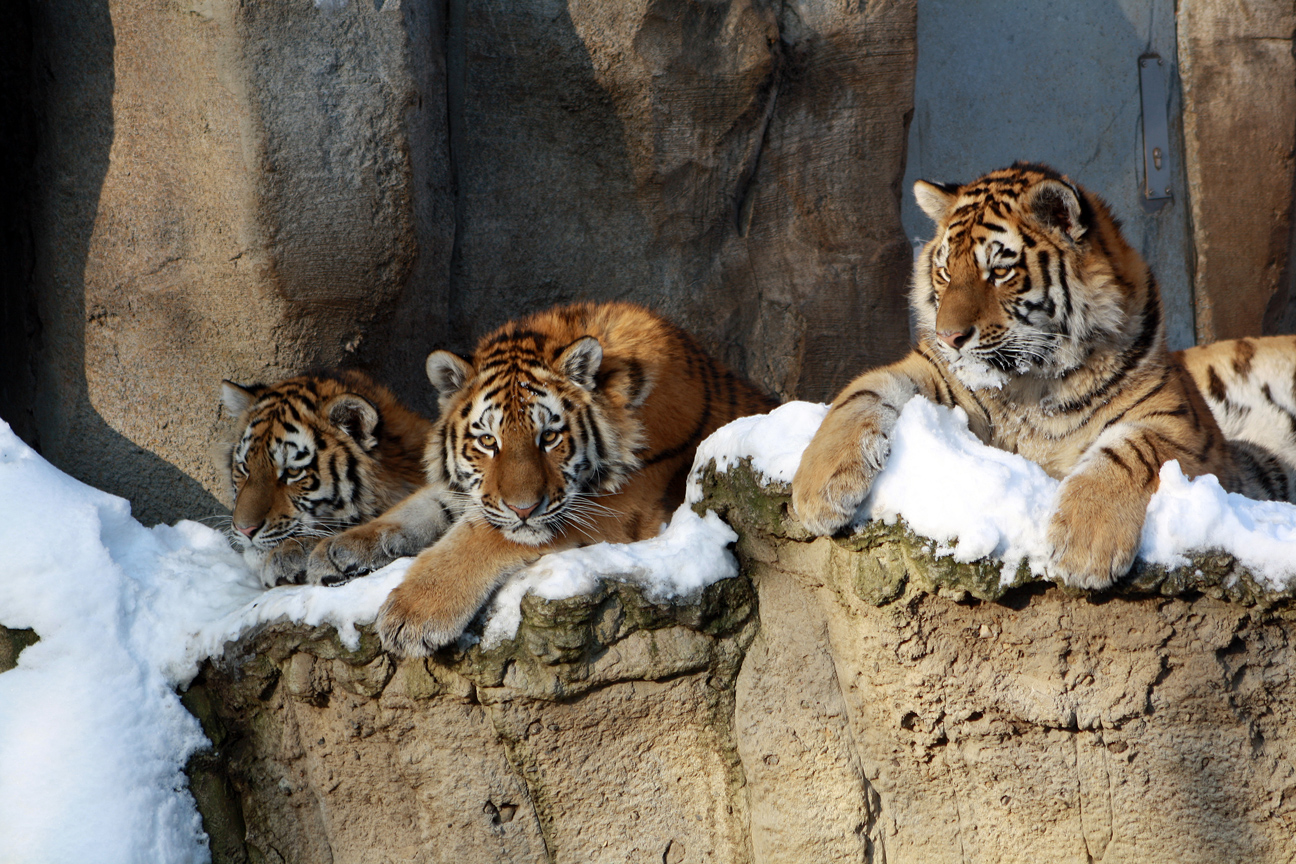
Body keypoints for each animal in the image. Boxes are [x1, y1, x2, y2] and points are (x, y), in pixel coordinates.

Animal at [307, 303, 772, 655]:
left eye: (549, 437)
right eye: (488, 441)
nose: (524, 509)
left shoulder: (621, 507)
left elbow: (479, 537)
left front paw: (414, 612)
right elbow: (422, 505)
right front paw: (336, 549)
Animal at [787, 163, 1296, 590]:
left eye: (999, 270)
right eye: (945, 271)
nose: (949, 336)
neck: (1031, 381)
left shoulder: (1189, 433)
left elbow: (1133, 448)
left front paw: (1084, 546)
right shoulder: (934, 374)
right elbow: (866, 391)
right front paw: (815, 492)